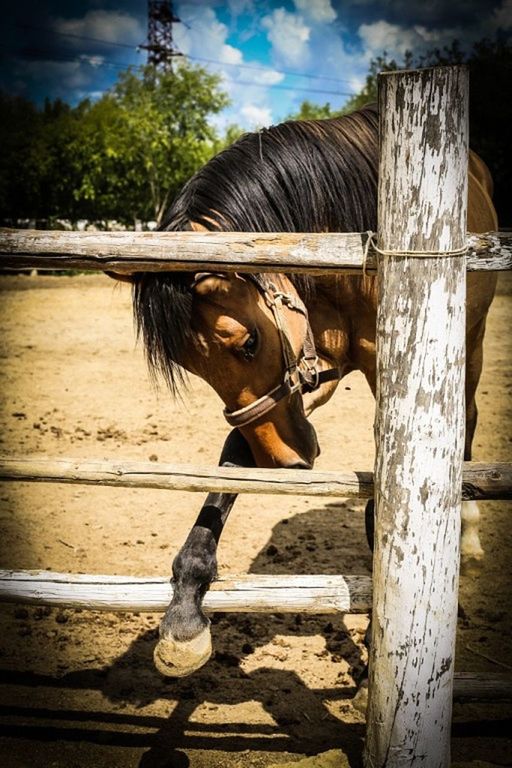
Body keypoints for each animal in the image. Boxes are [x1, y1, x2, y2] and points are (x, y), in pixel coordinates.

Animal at [110, 102, 498, 680]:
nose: (284, 464)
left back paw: (466, 533)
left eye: (248, 342)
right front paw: (185, 617)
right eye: (191, 366)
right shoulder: (296, 384)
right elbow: (229, 467)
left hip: (469, 343)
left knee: (467, 422)